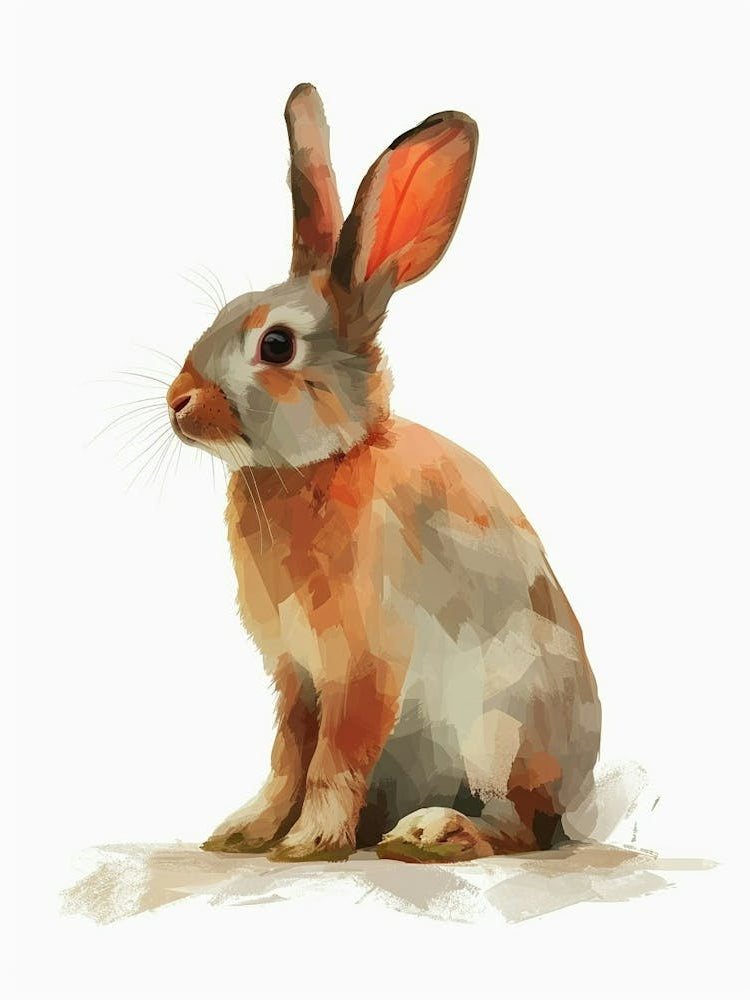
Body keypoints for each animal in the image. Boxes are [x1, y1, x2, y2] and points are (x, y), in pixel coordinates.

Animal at [165, 83, 601, 863]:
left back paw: (431, 832)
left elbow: (333, 759)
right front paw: (245, 832)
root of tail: (576, 797)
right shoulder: (294, 677)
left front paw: (308, 842)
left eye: (276, 346)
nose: (176, 401)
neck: (319, 463)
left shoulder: (364, 671)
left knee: (518, 827)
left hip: (501, 728)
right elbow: (287, 758)